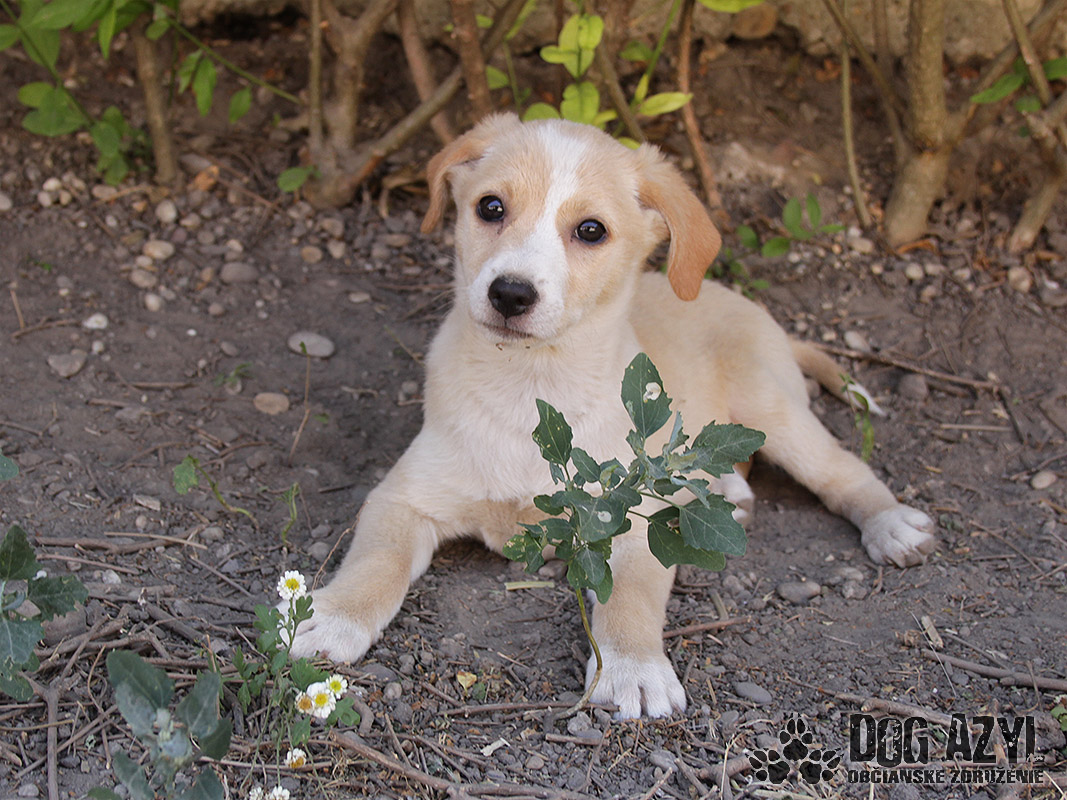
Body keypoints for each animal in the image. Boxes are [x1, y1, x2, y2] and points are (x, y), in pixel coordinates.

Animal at [287, 114, 937, 718]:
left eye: (591, 230)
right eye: (490, 207)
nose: (510, 294)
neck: (531, 387)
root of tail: (757, 311)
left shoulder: (631, 523)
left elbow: (631, 598)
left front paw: (633, 667)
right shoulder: (404, 496)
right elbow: (378, 559)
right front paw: (335, 617)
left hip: (772, 411)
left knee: (840, 469)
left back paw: (890, 524)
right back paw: (728, 494)